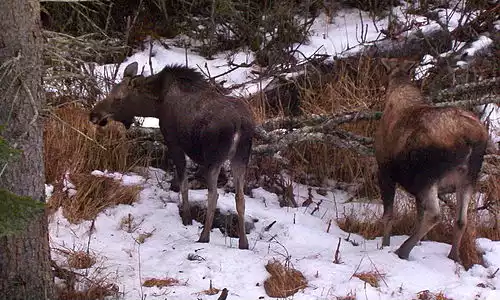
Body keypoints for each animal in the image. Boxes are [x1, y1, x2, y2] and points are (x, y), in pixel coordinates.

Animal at [88, 62, 256, 250]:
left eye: (118, 98)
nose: (94, 115)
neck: (155, 106)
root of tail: (239, 124)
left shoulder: (173, 141)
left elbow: (183, 183)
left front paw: (187, 218)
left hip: (214, 158)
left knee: (214, 195)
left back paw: (204, 237)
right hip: (241, 157)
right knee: (240, 197)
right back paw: (243, 243)